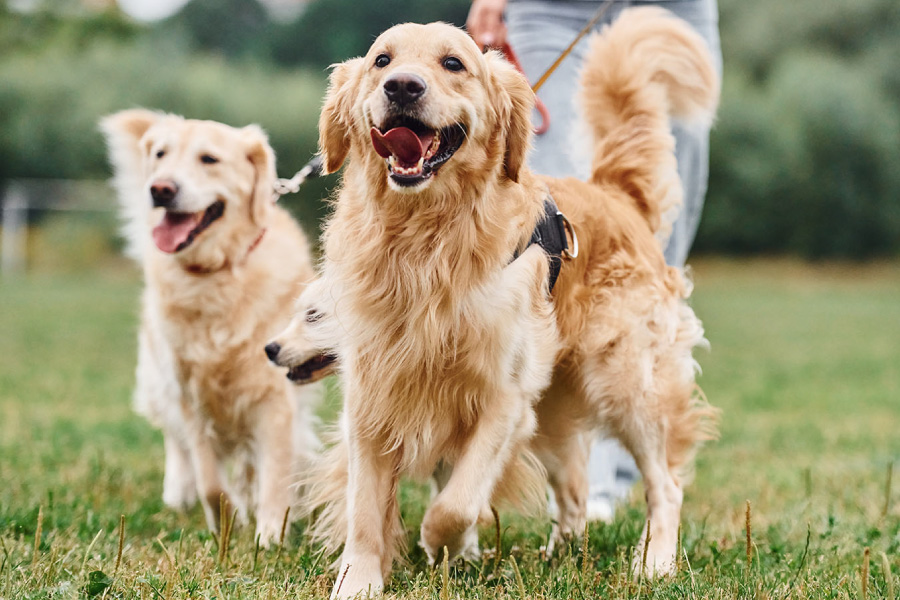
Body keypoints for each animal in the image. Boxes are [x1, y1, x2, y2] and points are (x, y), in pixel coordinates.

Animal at [101, 110, 322, 548]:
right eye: (160, 154)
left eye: (209, 159)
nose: (160, 189)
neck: (216, 275)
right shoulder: (191, 396)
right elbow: (210, 481)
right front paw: (228, 524)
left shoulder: (274, 397)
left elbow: (274, 473)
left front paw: (269, 536)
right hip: (158, 377)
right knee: (176, 440)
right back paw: (179, 491)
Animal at [296, 8, 716, 596]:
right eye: (382, 60)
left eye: (454, 63)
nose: (402, 86)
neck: (424, 244)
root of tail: (615, 194)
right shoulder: (372, 393)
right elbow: (364, 508)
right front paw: (359, 581)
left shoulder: (503, 396)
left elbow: (455, 504)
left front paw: (442, 547)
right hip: (559, 407)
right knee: (575, 489)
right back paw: (562, 555)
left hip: (628, 383)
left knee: (665, 484)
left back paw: (654, 564)